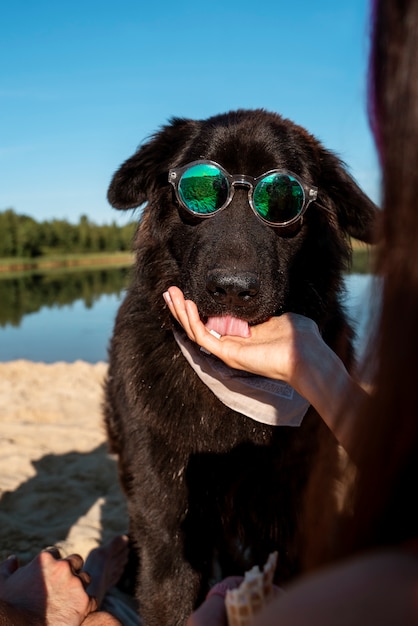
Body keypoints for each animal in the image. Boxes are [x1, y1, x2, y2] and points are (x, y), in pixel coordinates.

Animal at [103, 108, 376, 624]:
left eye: (283, 198)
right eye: (201, 190)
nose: (232, 288)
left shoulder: (293, 511)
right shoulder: (167, 513)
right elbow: (168, 593)